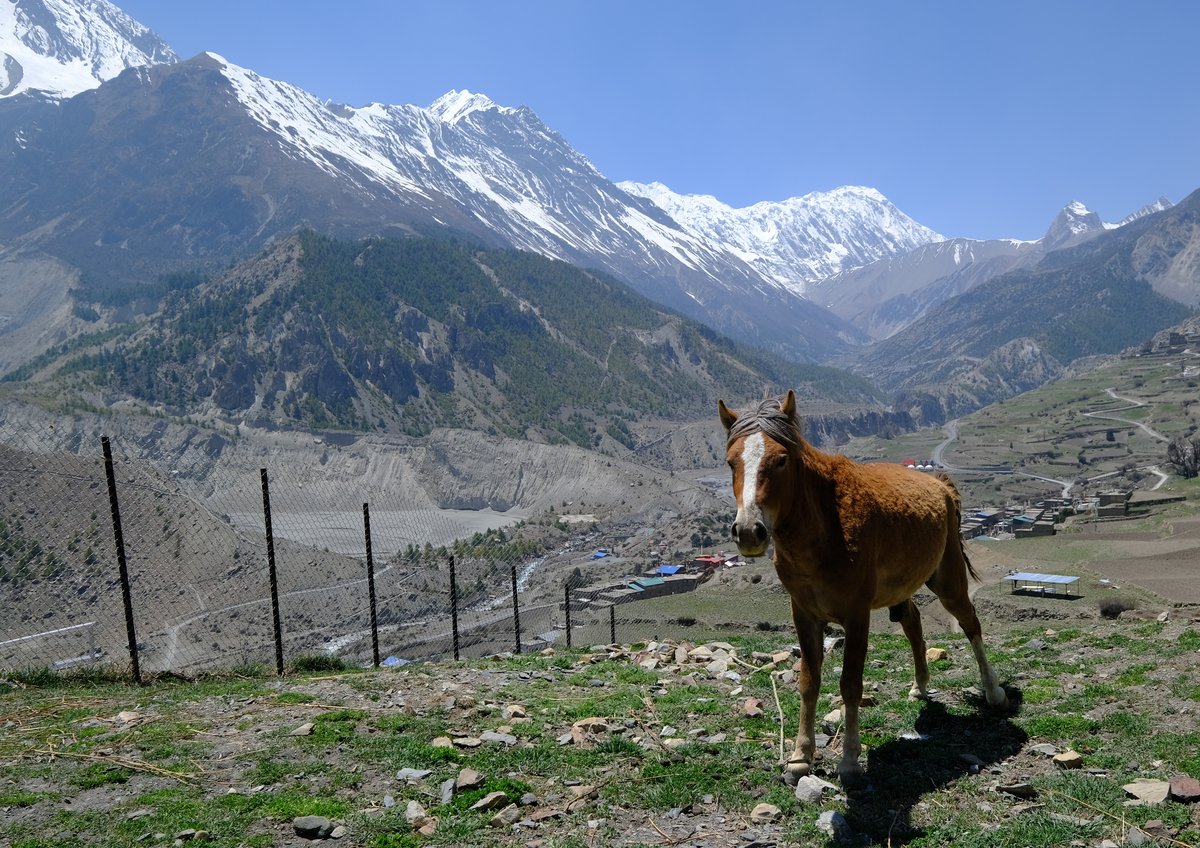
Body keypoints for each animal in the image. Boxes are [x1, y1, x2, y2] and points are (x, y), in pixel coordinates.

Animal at [718, 390, 1008, 783]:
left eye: (780, 460)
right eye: (731, 462)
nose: (749, 532)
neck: (827, 525)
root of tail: (939, 484)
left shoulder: (856, 617)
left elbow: (850, 684)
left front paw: (850, 760)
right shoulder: (804, 615)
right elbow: (809, 682)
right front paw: (800, 757)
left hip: (948, 582)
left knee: (970, 624)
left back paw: (993, 691)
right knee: (913, 623)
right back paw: (920, 685)